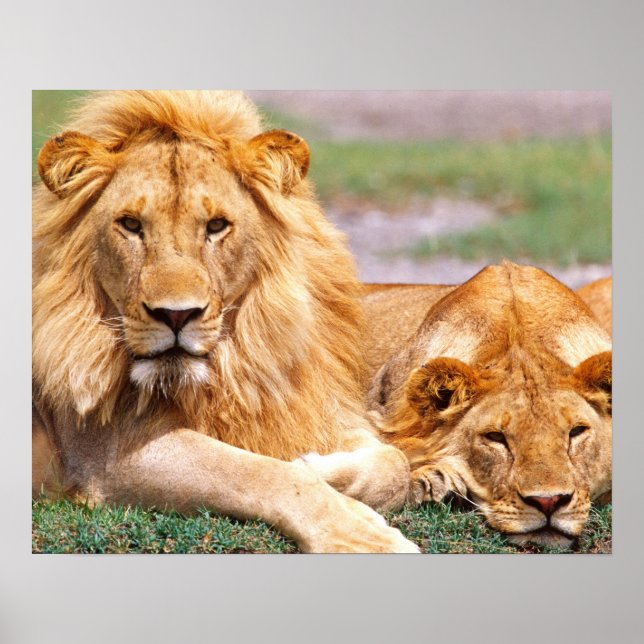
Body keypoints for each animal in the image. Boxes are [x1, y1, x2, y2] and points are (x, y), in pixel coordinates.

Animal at [32, 90, 418, 553]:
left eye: (216, 226)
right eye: (130, 225)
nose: (175, 314)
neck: (230, 367)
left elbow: (395, 463)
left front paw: (320, 467)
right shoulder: (104, 455)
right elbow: (260, 472)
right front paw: (358, 533)